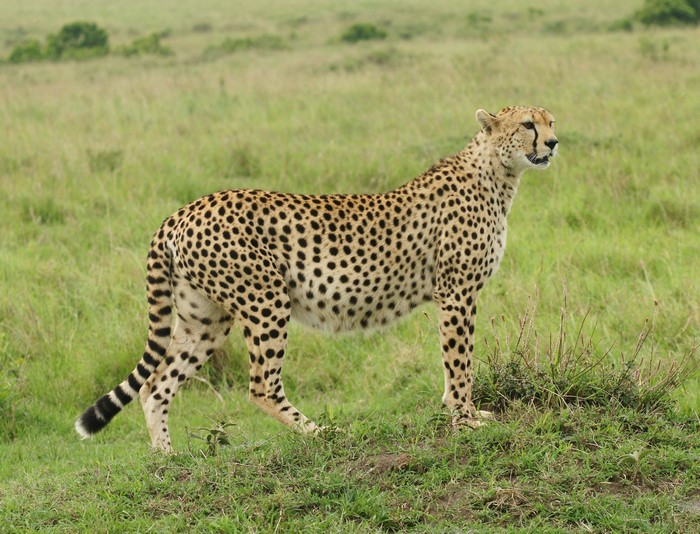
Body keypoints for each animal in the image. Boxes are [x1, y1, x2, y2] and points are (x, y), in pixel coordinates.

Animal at [75, 105, 558, 452]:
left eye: (551, 120)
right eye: (527, 123)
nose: (553, 143)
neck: (497, 171)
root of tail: (183, 211)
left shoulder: (454, 294)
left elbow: (453, 362)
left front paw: (458, 413)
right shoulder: (457, 292)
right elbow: (460, 363)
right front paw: (465, 418)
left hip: (204, 317)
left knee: (155, 385)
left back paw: (167, 461)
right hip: (266, 300)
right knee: (261, 386)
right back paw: (322, 433)